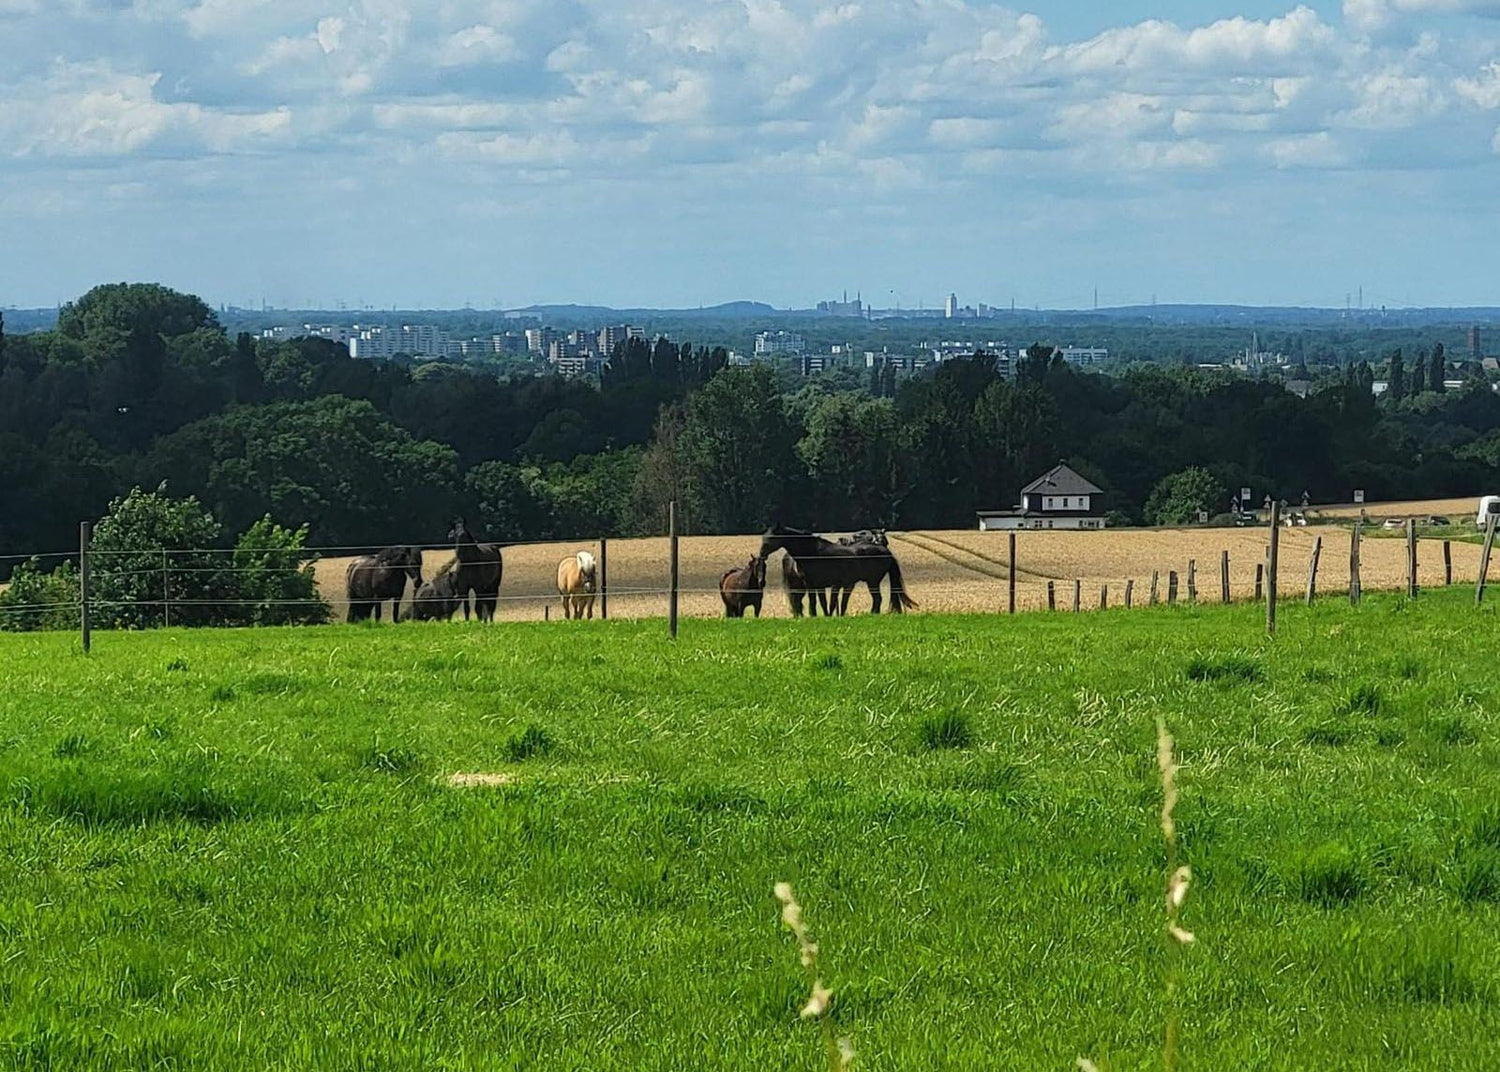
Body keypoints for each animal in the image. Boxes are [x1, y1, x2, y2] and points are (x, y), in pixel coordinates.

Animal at [762, 527, 912, 617]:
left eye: (770, 538)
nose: (762, 553)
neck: (812, 553)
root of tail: (886, 552)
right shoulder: (820, 585)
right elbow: (827, 602)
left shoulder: (819, 584)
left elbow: (825, 602)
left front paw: (817, 615)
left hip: (873, 581)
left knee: (877, 599)